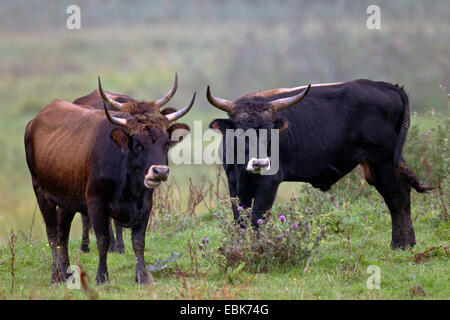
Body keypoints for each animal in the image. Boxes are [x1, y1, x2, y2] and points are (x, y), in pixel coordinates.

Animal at [207, 79, 432, 249]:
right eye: (241, 132)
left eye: (271, 132)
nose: (260, 162)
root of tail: (387, 86)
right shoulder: (234, 184)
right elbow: (240, 219)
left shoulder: (269, 183)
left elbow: (257, 218)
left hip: (384, 161)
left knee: (398, 196)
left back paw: (403, 244)